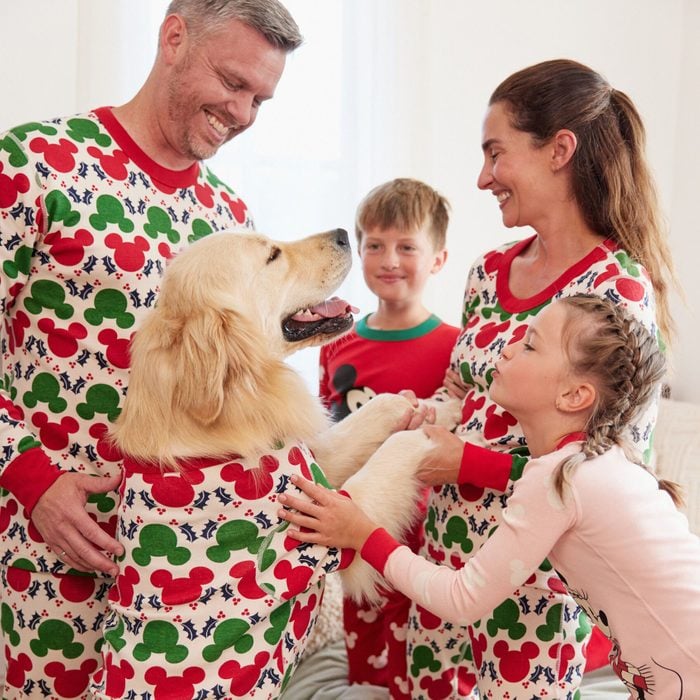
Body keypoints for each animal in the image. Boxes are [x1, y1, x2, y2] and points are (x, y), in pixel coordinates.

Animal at [93, 231, 456, 700]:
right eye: (272, 255)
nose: (343, 233)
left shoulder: (311, 462)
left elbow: (384, 407)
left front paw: (442, 407)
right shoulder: (329, 522)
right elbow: (395, 448)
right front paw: (437, 436)